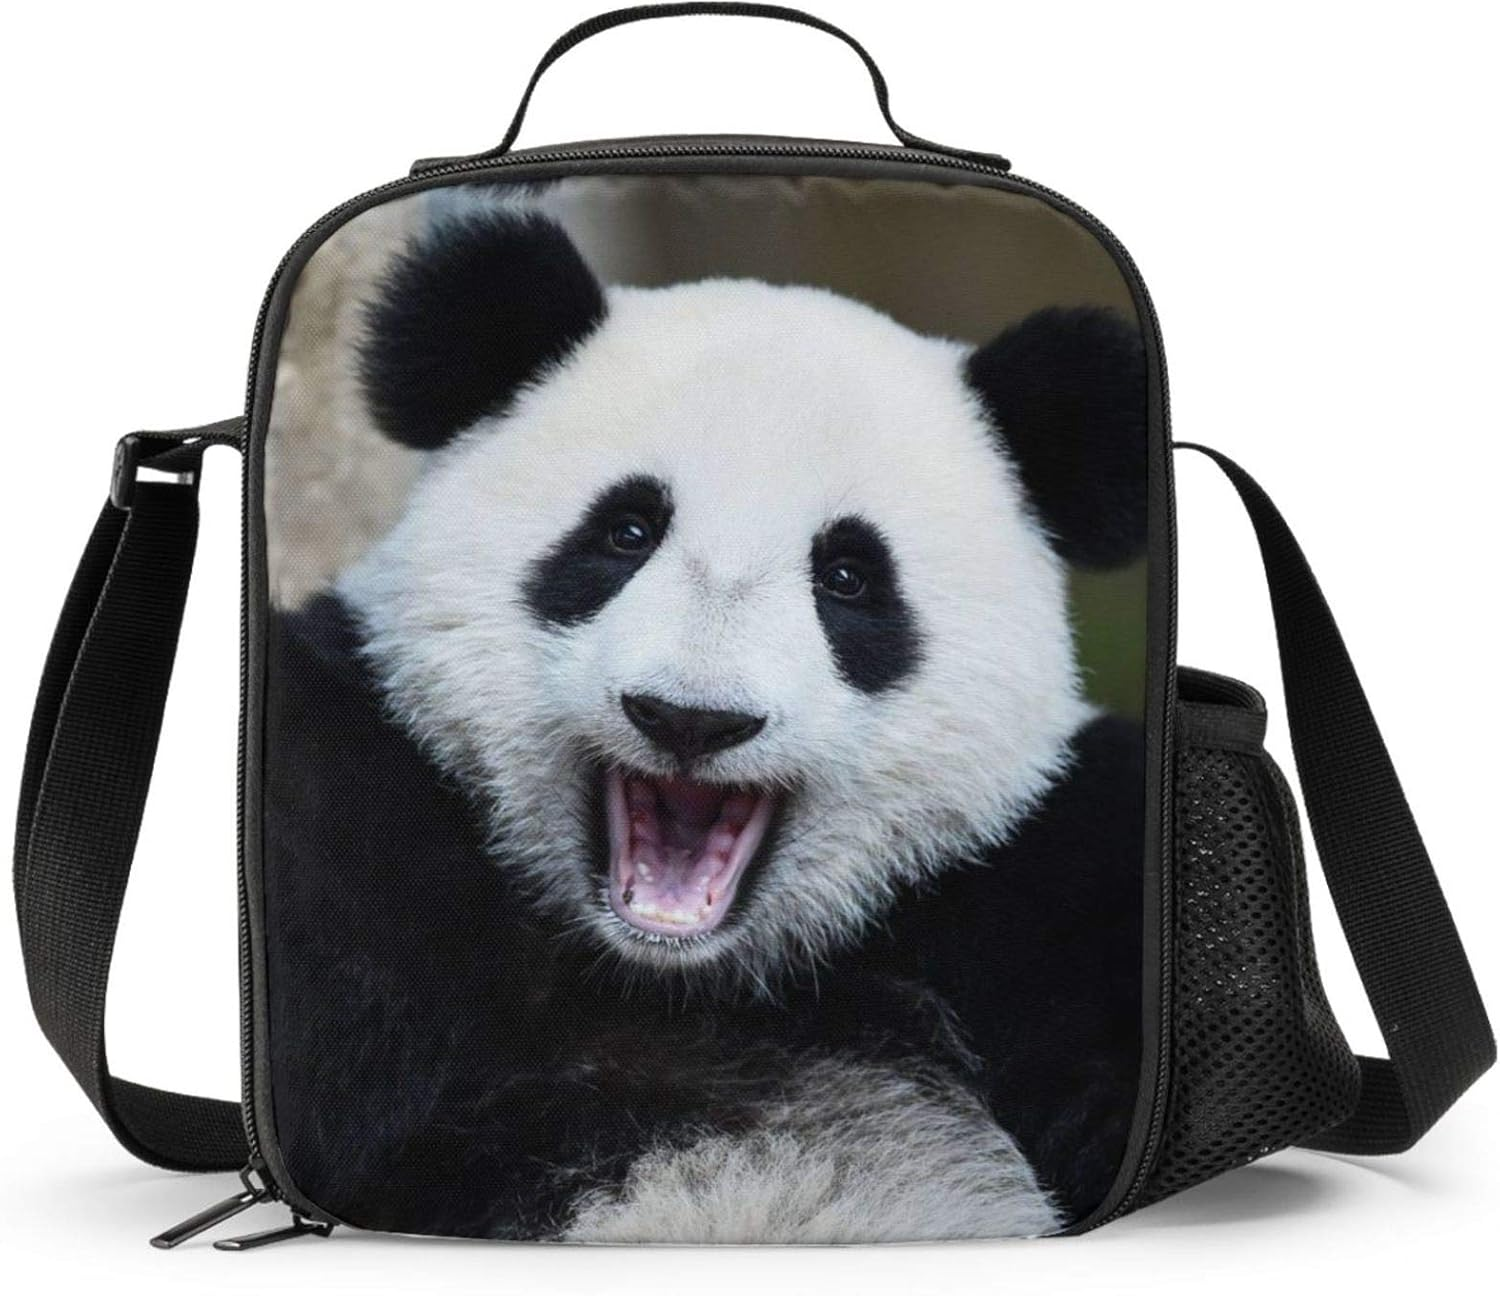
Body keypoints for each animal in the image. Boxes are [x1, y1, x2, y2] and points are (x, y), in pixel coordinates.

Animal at [263, 206, 1148, 1243]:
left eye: (849, 577)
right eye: (625, 532)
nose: (691, 719)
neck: (680, 978)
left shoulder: (1041, 891)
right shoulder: (368, 825)